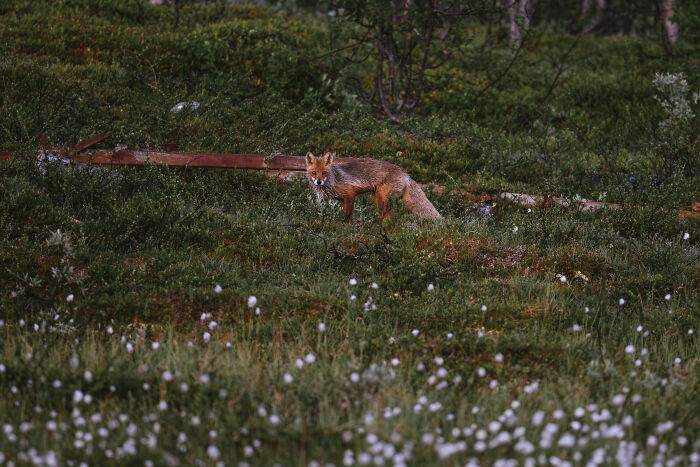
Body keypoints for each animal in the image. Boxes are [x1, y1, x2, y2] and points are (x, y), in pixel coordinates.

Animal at [305, 151, 441, 222]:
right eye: (314, 173)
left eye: (324, 173)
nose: (318, 182)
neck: (333, 180)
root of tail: (404, 173)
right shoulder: (342, 200)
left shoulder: (350, 195)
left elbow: (348, 217)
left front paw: (347, 230)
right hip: (376, 198)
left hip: (382, 199)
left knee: (390, 217)